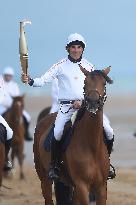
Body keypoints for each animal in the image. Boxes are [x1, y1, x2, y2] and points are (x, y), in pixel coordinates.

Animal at [33, 66, 112, 204]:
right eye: (85, 83)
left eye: (104, 83)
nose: (93, 103)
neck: (92, 145)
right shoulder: (82, 186)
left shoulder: (101, 187)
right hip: (44, 179)